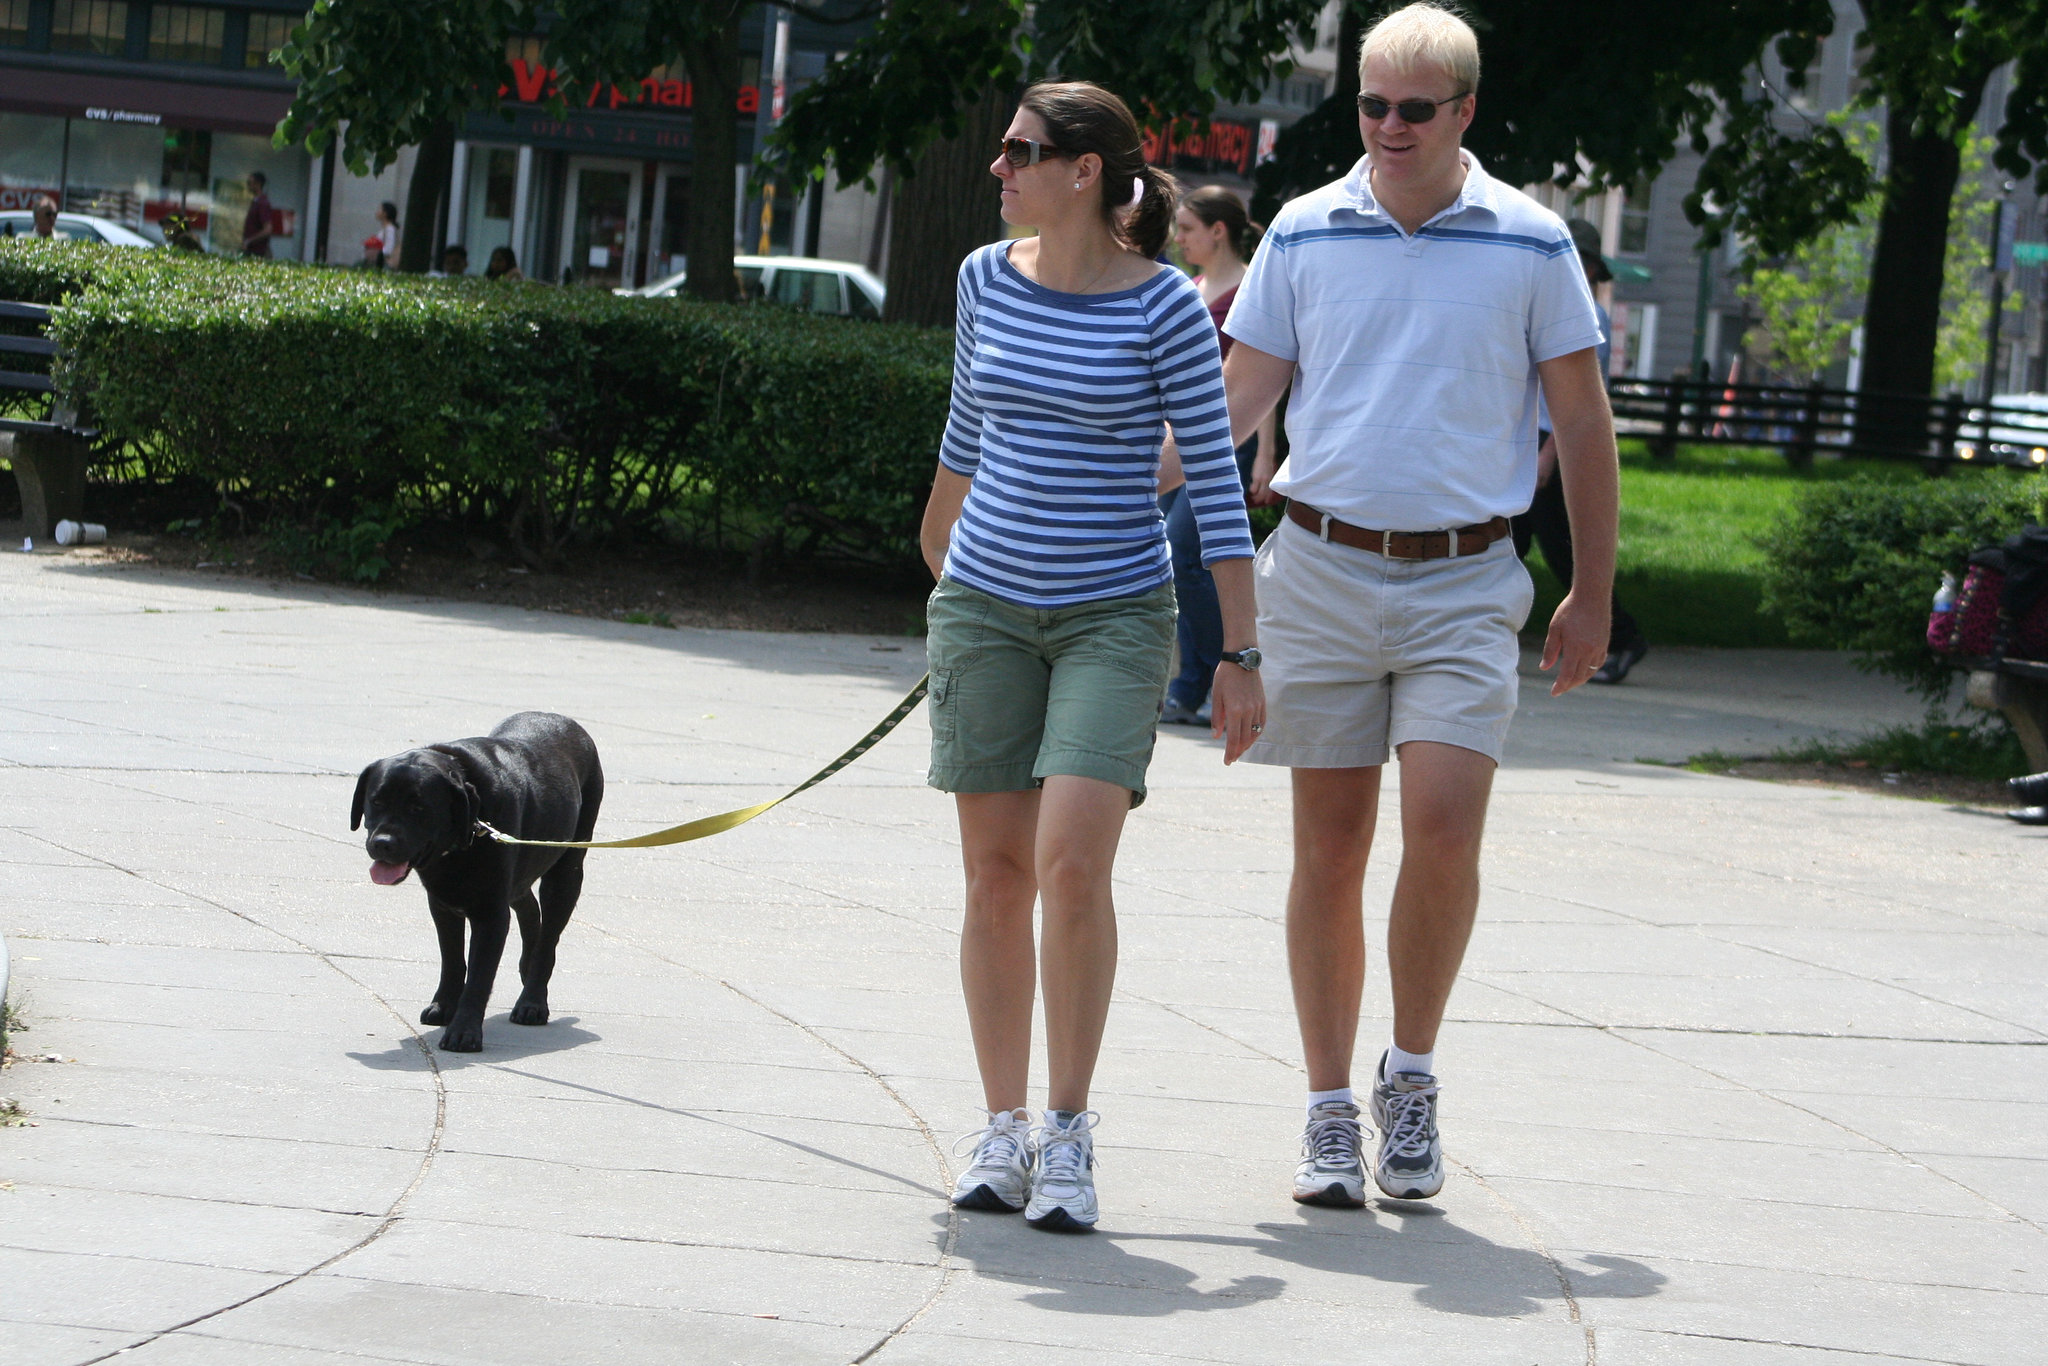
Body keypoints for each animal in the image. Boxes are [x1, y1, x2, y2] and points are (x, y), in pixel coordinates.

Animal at [352, 720, 598, 1056]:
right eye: (376, 801)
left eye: (418, 807)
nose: (383, 843)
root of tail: (571, 724)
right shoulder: (442, 903)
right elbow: (453, 960)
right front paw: (443, 1006)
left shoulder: (491, 914)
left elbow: (480, 976)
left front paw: (464, 1032)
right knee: (526, 903)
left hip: (566, 871)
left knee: (548, 936)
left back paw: (533, 1000)